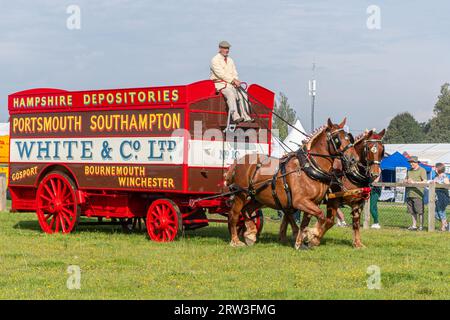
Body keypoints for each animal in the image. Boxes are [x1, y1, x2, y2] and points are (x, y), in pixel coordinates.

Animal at [224, 119, 358, 249]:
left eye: (348, 137)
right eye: (337, 139)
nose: (353, 159)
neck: (309, 167)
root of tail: (239, 161)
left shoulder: (312, 202)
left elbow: (306, 223)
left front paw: (300, 242)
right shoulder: (300, 201)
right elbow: (321, 215)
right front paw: (312, 235)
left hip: (258, 198)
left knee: (246, 210)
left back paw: (250, 234)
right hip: (240, 195)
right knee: (233, 215)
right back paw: (235, 241)